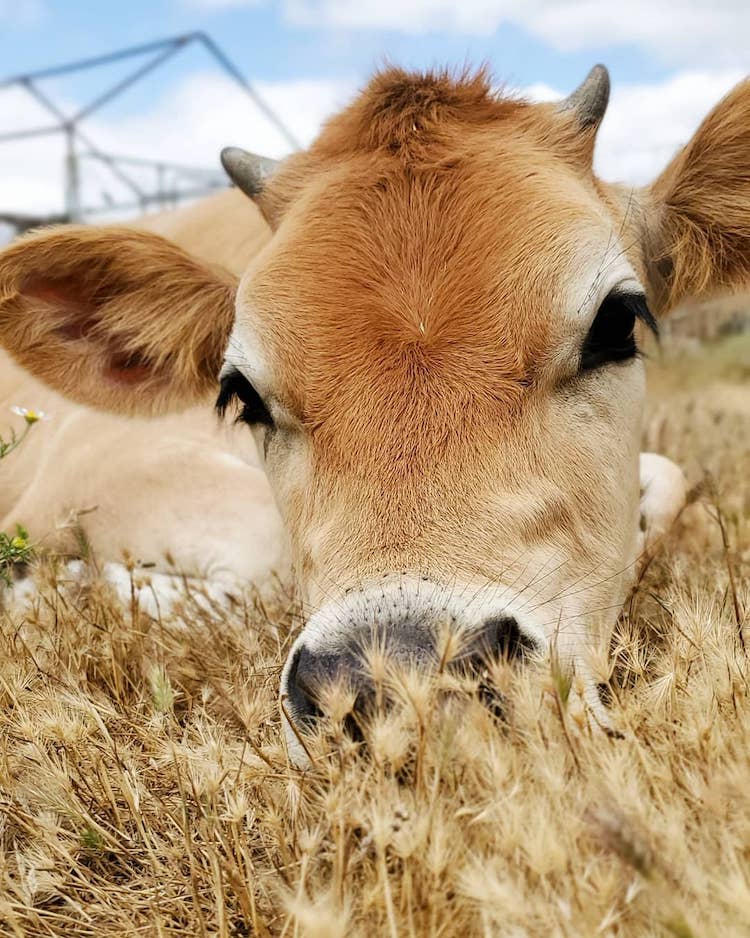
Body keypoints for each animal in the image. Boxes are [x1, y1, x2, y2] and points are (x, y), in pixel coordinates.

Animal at [0, 64, 748, 752]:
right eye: (241, 391)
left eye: (618, 322)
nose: (399, 682)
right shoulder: (77, 471)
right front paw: (60, 589)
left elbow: (670, 482)